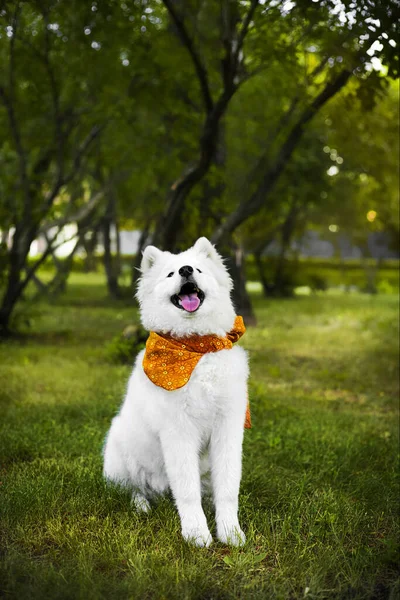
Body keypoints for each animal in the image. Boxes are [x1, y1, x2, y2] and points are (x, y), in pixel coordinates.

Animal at [101, 237, 248, 548]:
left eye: (199, 269)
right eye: (170, 274)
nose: (185, 270)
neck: (196, 348)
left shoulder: (227, 428)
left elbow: (228, 487)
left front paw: (230, 532)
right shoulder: (179, 431)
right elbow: (188, 492)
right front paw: (197, 534)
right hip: (121, 450)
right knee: (133, 490)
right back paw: (142, 505)